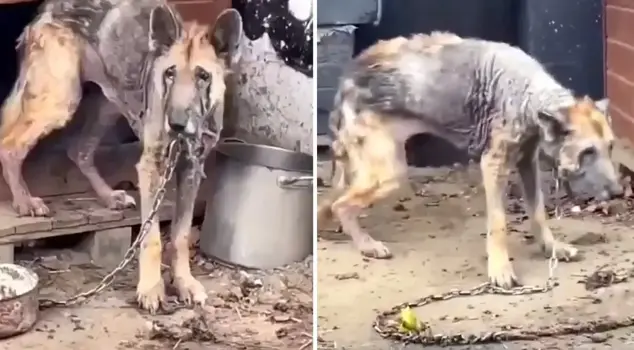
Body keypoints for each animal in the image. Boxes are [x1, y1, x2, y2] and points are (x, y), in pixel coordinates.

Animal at [0, 0, 242, 312]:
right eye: (170, 73)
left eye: (203, 76)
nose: (176, 124)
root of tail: (47, 9)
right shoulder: (152, 167)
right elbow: (152, 238)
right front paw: (151, 289)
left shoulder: (192, 170)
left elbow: (180, 235)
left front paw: (184, 282)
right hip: (60, 100)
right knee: (10, 145)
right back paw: (24, 201)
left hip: (108, 104)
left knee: (79, 150)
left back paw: (108, 196)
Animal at [318, 32, 620, 290]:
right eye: (588, 152)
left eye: (610, 147)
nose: (619, 192)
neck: (528, 95)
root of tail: (348, 77)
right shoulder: (494, 166)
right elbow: (498, 224)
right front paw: (500, 269)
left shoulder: (527, 164)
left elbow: (537, 213)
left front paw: (551, 248)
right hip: (389, 174)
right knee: (340, 205)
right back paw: (366, 245)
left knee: (334, 202)